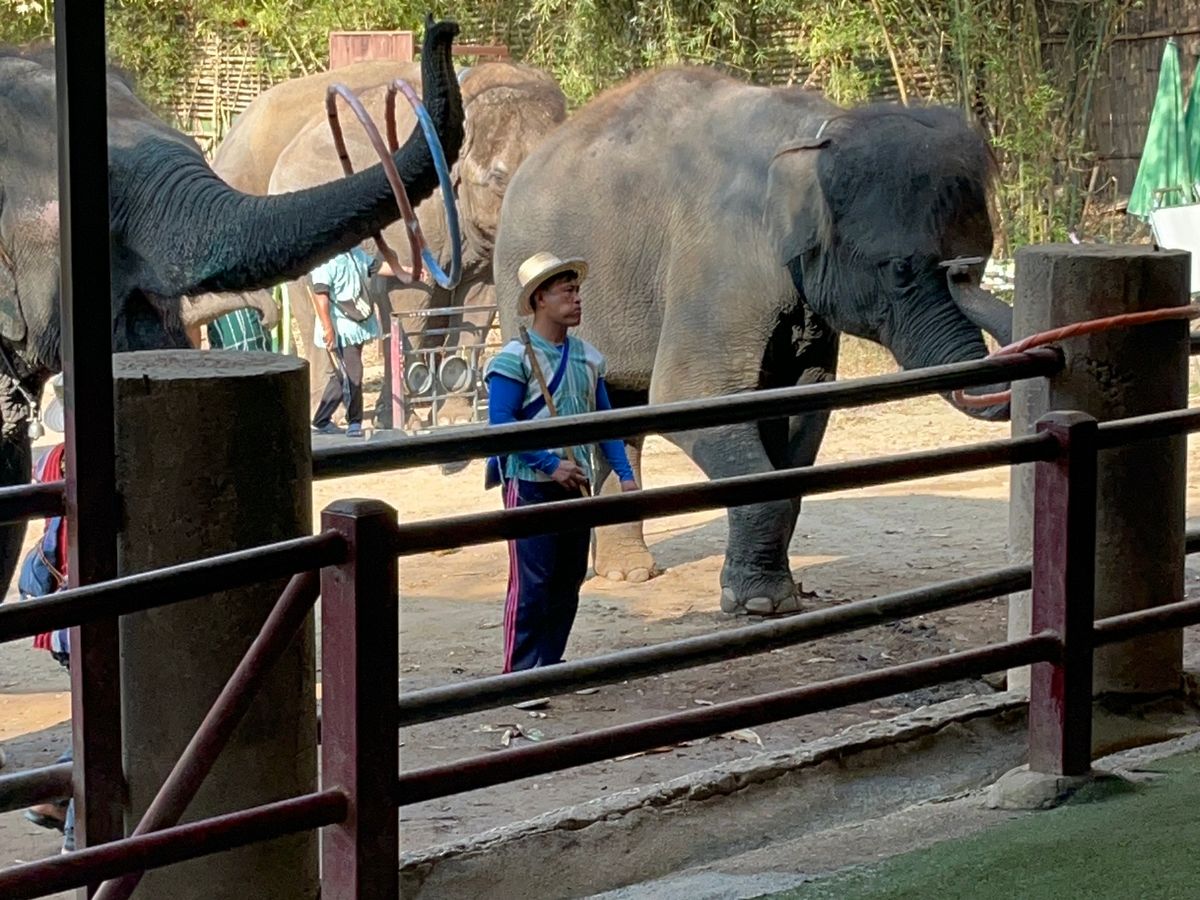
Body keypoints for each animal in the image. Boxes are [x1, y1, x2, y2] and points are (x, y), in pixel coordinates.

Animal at [493, 66, 1013, 617]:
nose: (962, 271)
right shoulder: (718, 264)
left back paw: (628, 573)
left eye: (982, 258)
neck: (818, 133)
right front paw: (762, 605)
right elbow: (690, 396)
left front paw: (775, 596)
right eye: (898, 270)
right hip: (517, 289)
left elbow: (803, 408)